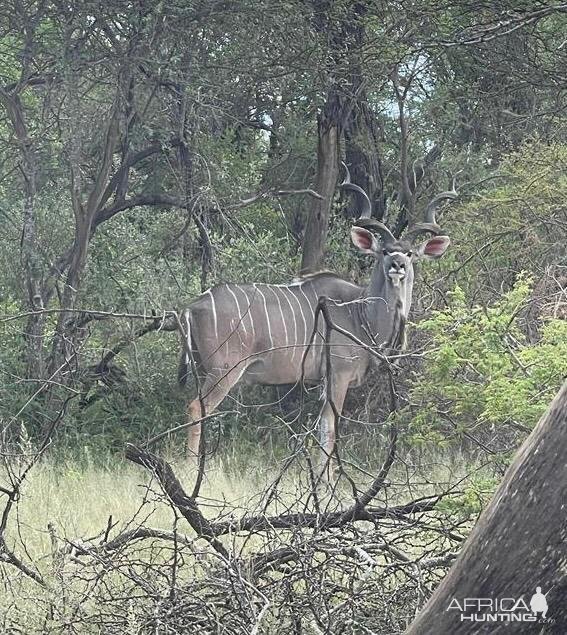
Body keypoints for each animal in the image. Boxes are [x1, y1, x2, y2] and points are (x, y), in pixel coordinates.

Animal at [180, 169, 454, 468]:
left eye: (410, 253)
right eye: (384, 250)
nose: (397, 265)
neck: (360, 313)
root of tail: (191, 307)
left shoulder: (324, 380)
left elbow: (323, 427)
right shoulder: (338, 375)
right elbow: (330, 429)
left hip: (204, 370)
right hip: (224, 370)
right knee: (195, 407)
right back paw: (191, 468)